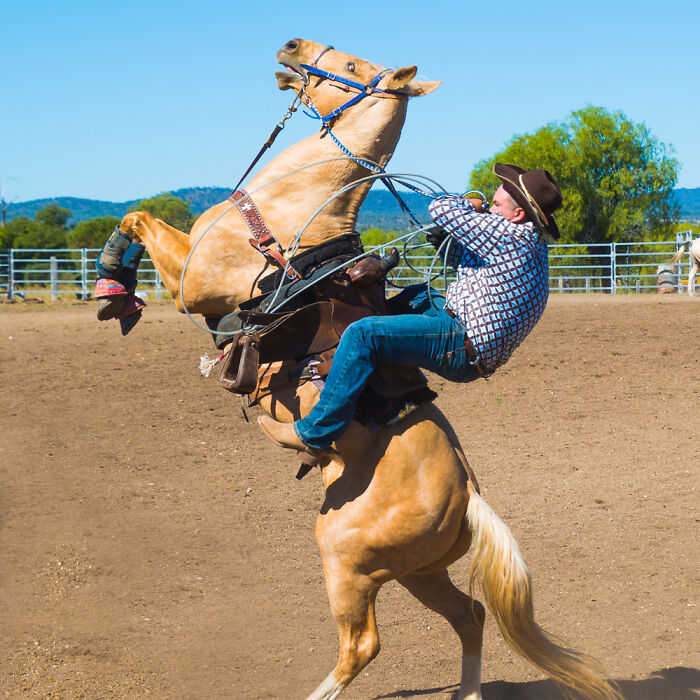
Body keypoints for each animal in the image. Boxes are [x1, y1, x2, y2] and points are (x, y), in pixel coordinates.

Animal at [102, 39, 622, 700]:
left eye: (352, 67)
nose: (291, 46)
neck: (291, 212)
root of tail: (470, 497)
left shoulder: (195, 285)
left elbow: (139, 219)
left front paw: (113, 286)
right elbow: (138, 216)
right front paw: (116, 293)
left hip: (346, 559)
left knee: (363, 645)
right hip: (417, 572)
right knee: (471, 615)